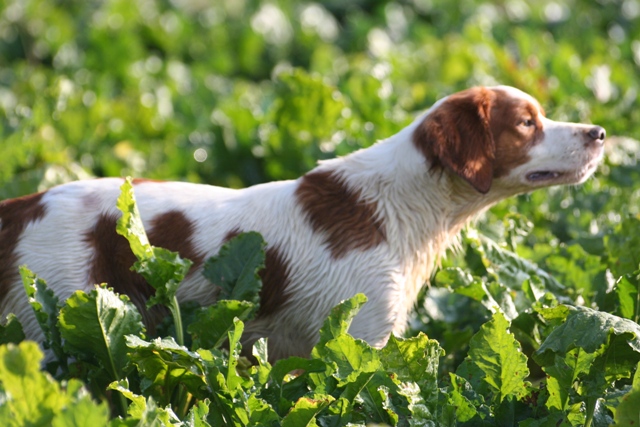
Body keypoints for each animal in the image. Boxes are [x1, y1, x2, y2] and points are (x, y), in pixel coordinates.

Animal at [0, 87, 604, 362]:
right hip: (60, 328)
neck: (398, 205)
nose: (599, 132)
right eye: (527, 123)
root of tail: (25, 203)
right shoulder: (361, 335)